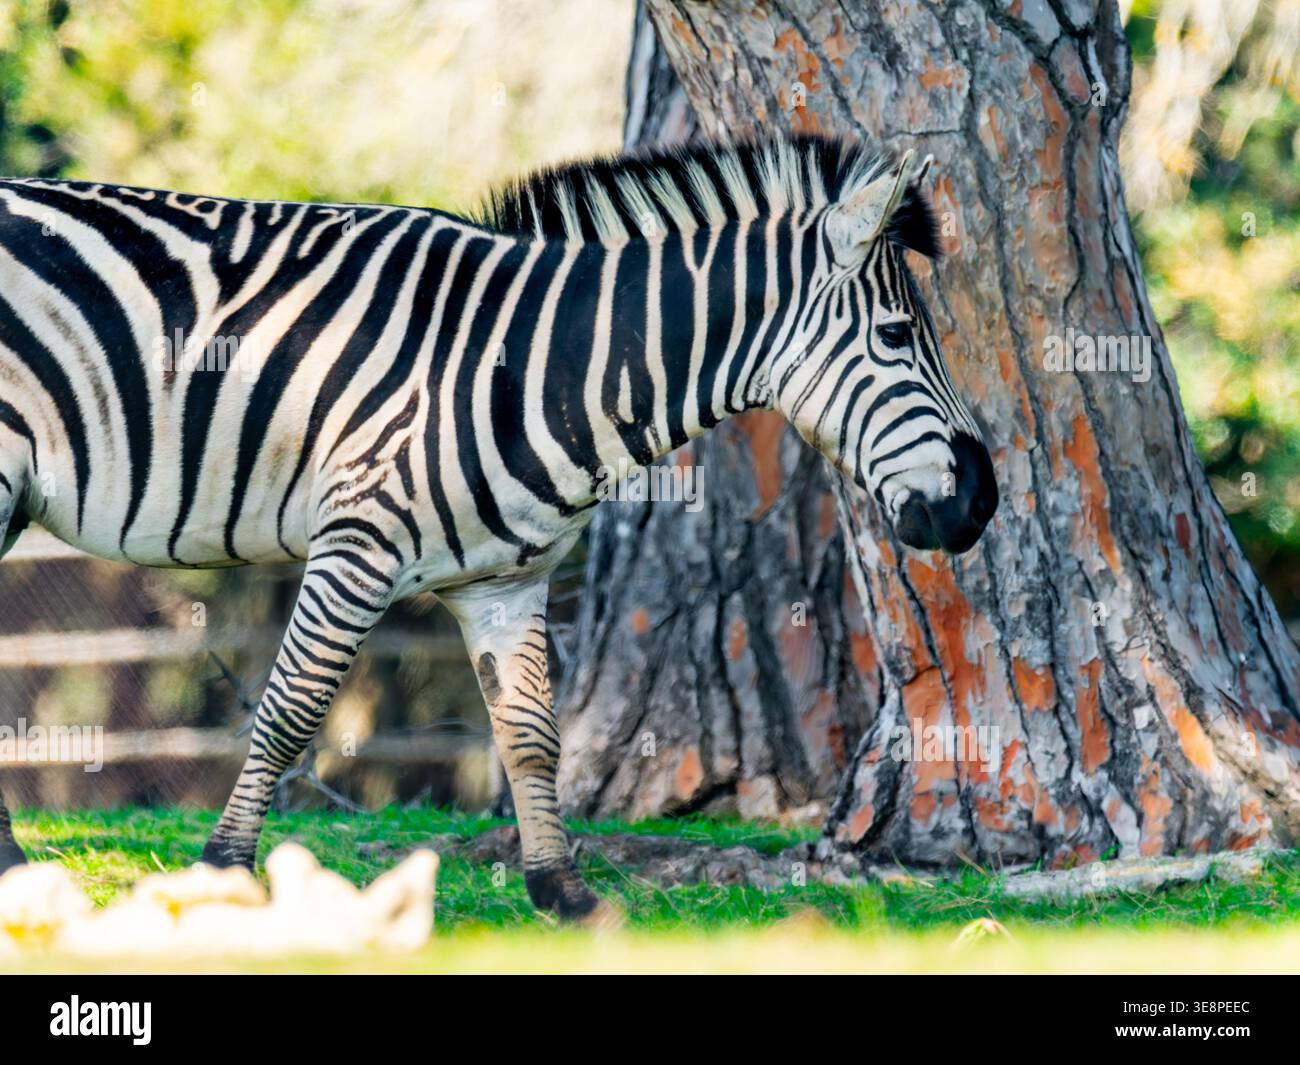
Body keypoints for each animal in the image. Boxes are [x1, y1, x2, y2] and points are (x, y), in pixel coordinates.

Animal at [0, 133, 997, 922]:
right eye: (900, 334)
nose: (982, 502)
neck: (544, 368)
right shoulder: (356, 541)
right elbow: (288, 711)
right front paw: (222, 873)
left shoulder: (502, 580)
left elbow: (532, 735)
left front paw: (564, 894)